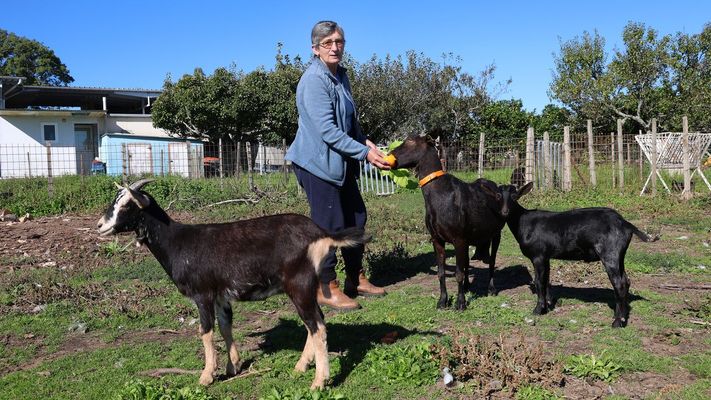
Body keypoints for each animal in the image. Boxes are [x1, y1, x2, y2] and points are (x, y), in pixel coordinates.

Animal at [96, 179, 370, 389]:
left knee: (317, 326)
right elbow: (226, 326)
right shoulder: (221, 295)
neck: (177, 242)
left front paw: (206, 376)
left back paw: (319, 381)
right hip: (306, 287)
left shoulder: (203, 294)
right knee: (314, 321)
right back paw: (301, 366)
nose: (100, 226)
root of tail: (321, 234)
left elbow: (206, 331)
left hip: (299, 283)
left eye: (126, 205)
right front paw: (233, 366)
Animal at [388, 136, 506, 310]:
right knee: (467, 262)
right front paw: (443, 300)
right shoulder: (437, 239)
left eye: (410, 142)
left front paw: (461, 302)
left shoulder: (459, 239)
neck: (438, 194)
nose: (389, 155)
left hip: (496, 232)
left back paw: (491, 289)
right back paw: (467, 286)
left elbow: (458, 273)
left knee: (491, 261)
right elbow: (441, 272)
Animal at [490, 182, 658, 327]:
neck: (523, 222)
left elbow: (538, 281)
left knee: (619, 283)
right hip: (619, 255)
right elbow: (546, 280)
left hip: (610, 253)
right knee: (626, 280)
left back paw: (618, 322)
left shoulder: (538, 255)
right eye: (498, 196)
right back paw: (620, 316)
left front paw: (538, 310)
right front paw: (548, 305)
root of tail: (625, 223)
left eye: (515, 196)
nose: (504, 212)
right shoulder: (546, 257)